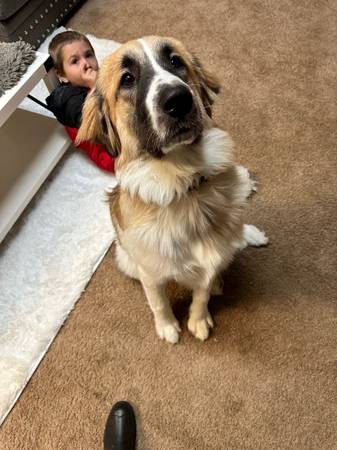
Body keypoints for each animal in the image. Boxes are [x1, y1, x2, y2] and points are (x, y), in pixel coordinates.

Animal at [77, 36, 268, 344]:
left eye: (175, 61)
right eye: (127, 79)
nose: (178, 100)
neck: (187, 188)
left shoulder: (209, 263)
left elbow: (201, 296)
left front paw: (198, 320)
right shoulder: (149, 273)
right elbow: (159, 302)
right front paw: (168, 327)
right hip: (125, 260)